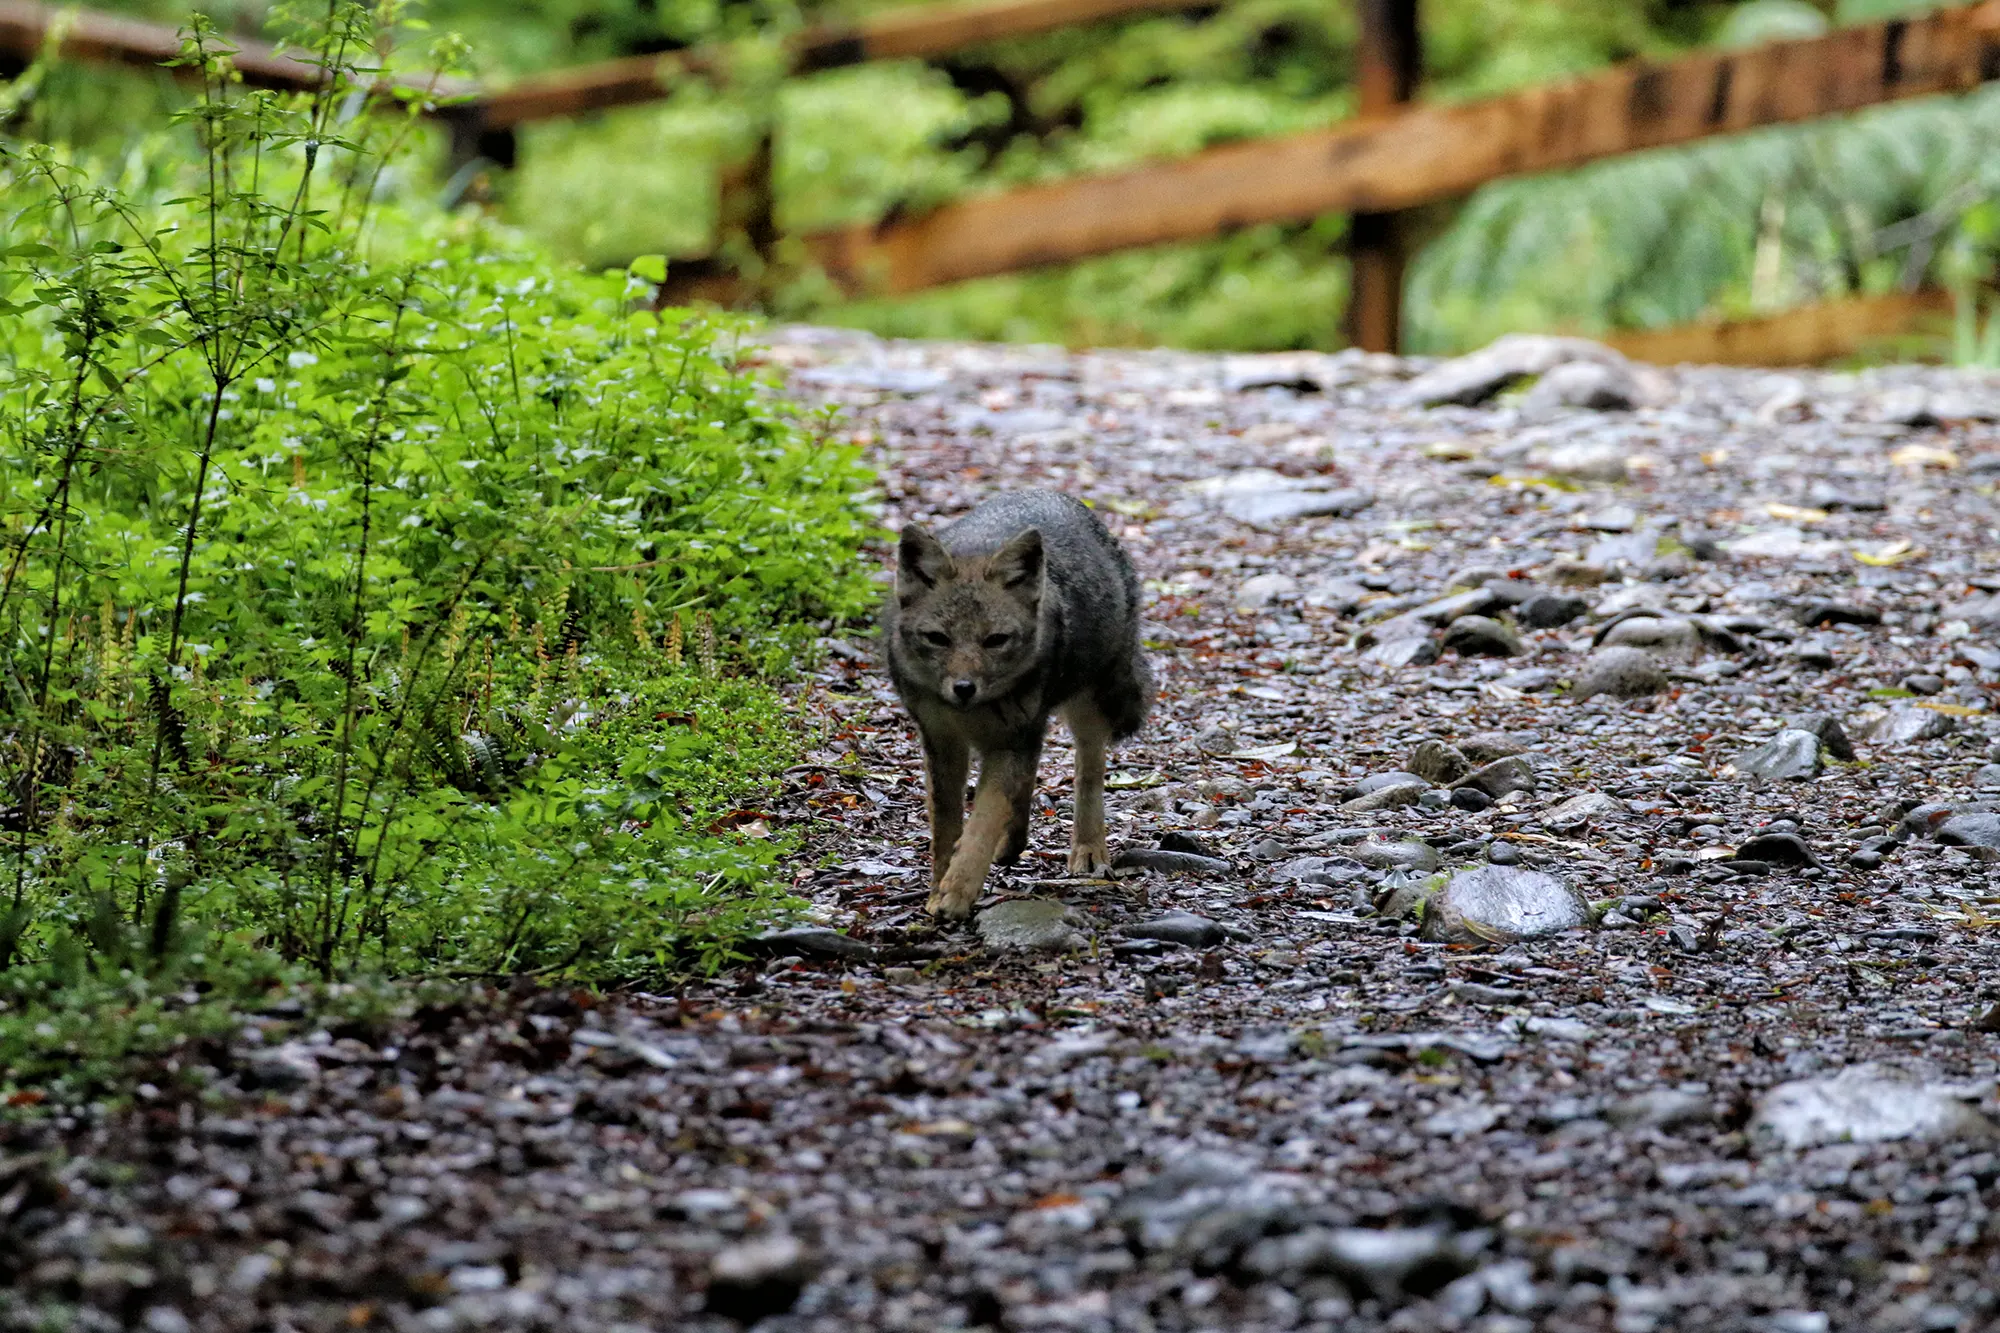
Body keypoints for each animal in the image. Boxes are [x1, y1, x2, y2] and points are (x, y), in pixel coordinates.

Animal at [884, 492, 1152, 920]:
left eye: (995, 640)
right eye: (938, 639)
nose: (964, 688)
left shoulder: (1009, 742)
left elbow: (983, 822)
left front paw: (957, 892)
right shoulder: (943, 742)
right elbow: (946, 827)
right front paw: (937, 889)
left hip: (1084, 712)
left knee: (1088, 774)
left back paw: (1088, 849)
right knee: (1030, 775)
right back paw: (1013, 844)